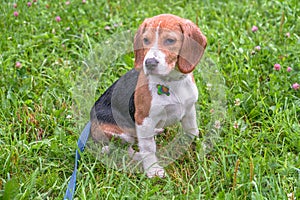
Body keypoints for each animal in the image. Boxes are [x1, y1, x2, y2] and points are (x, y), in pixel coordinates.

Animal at [90, 13, 207, 177]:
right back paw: (139, 157)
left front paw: (197, 147)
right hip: (120, 134)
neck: (171, 82)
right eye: (145, 40)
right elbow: (149, 148)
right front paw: (153, 170)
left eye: (170, 40)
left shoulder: (189, 110)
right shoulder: (143, 120)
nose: (149, 62)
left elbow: (192, 131)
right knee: (123, 150)